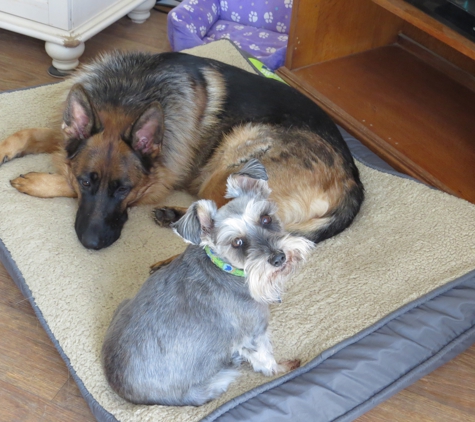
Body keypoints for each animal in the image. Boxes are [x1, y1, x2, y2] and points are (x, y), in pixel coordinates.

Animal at [0, 51, 364, 249]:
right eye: (86, 181)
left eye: (124, 190)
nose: (91, 244)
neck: (128, 95)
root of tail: (353, 180)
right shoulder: (68, 136)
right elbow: (31, 134)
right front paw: (7, 148)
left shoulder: (159, 180)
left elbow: (60, 177)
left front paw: (36, 181)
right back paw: (176, 216)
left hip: (231, 163)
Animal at [102, 160, 314, 408]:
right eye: (237, 242)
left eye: (265, 218)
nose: (279, 258)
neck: (226, 268)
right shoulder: (254, 335)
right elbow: (267, 362)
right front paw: (282, 367)